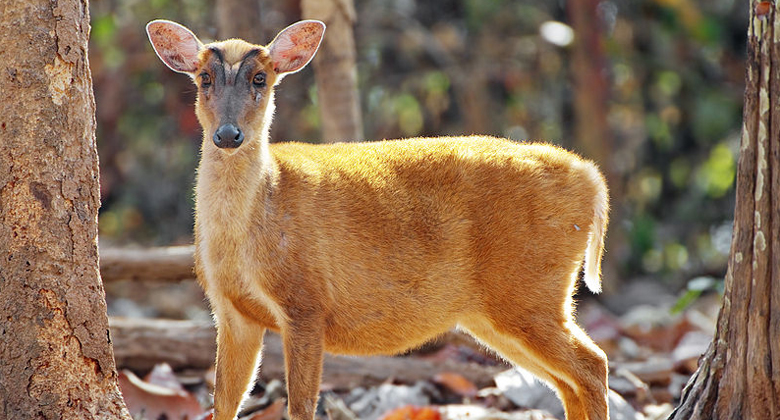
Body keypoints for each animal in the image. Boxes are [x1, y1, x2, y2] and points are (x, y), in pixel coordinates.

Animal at [145, 18, 608, 418]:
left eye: (261, 78)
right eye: (204, 78)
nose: (228, 135)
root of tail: (592, 177)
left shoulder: (306, 301)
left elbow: (301, 406)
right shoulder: (231, 311)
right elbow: (223, 402)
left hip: (529, 288)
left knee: (592, 364)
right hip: (497, 309)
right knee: (568, 381)